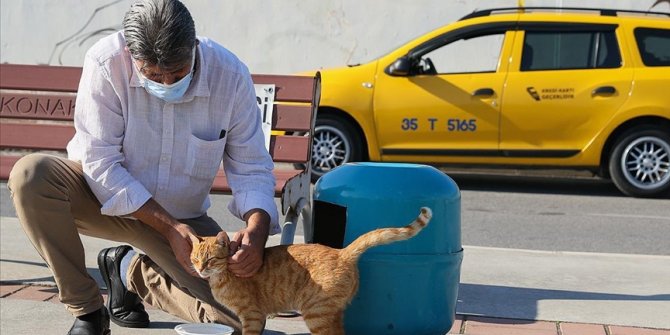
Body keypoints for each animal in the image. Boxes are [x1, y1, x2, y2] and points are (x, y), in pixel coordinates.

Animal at [189, 207, 434, 335]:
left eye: (210, 260)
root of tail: (342, 252)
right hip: (331, 314)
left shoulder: (252, 315)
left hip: (316, 314)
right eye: (195, 259)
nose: (199, 269)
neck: (223, 276)